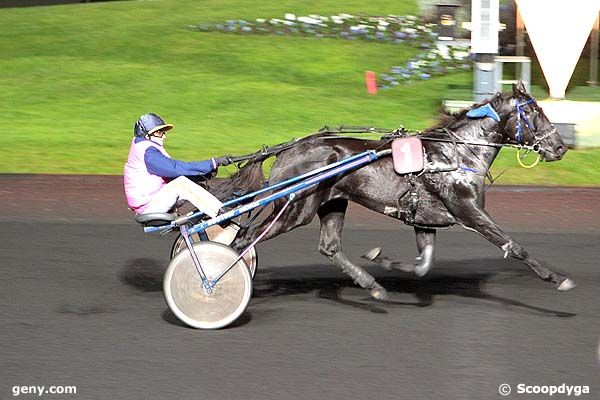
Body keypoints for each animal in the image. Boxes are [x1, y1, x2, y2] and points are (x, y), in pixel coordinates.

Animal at [218, 82, 576, 300]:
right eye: (535, 112)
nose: (560, 147)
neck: (457, 154)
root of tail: (287, 150)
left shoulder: (425, 220)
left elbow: (424, 264)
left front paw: (383, 260)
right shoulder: (469, 210)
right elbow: (514, 246)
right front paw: (557, 277)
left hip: (331, 203)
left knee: (329, 246)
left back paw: (372, 286)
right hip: (295, 208)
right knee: (245, 239)